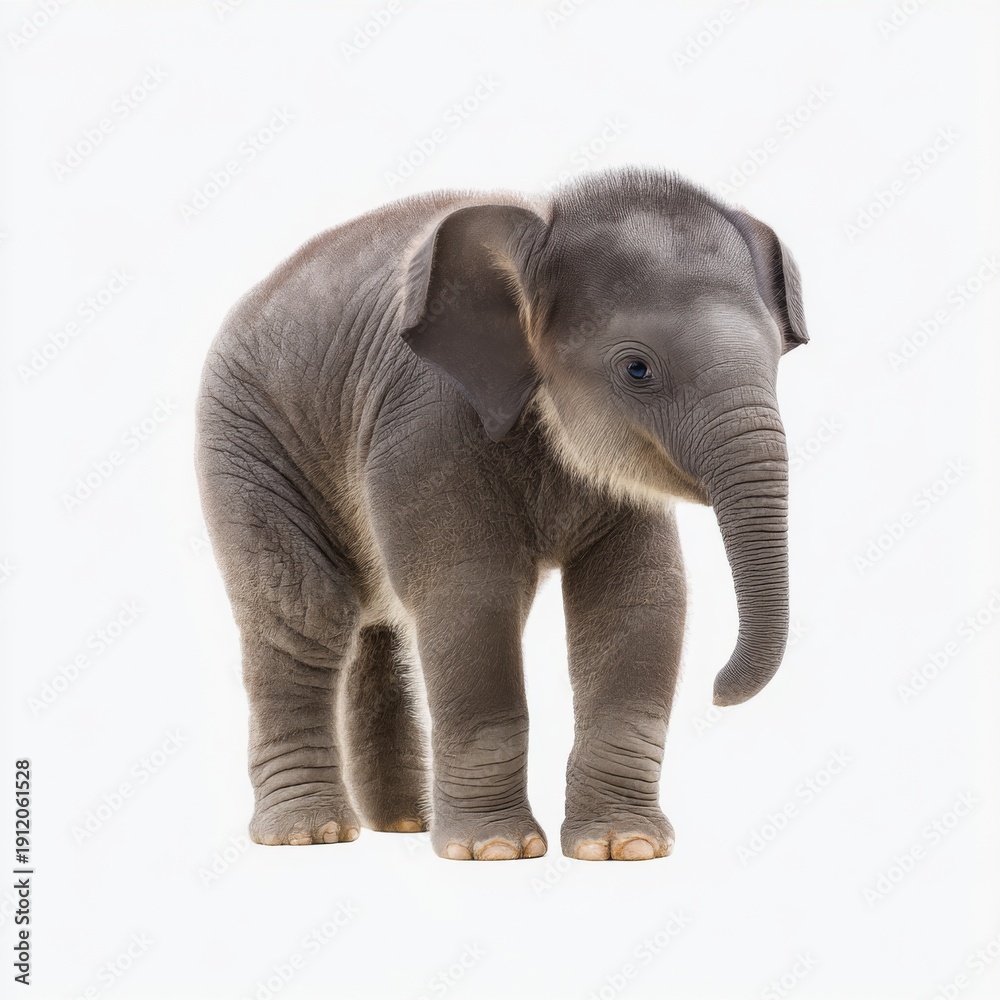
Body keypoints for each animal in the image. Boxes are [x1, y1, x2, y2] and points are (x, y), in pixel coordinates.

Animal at [195, 167, 808, 862]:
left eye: (778, 360)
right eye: (637, 369)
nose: (718, 692)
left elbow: (642, 598)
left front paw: (624, 846)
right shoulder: (426, 419)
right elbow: (469, 592)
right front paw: (495, 850)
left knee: (376, 629)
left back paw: (402, 825)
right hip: (247, 440)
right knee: (304, 613)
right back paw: (309, 835)